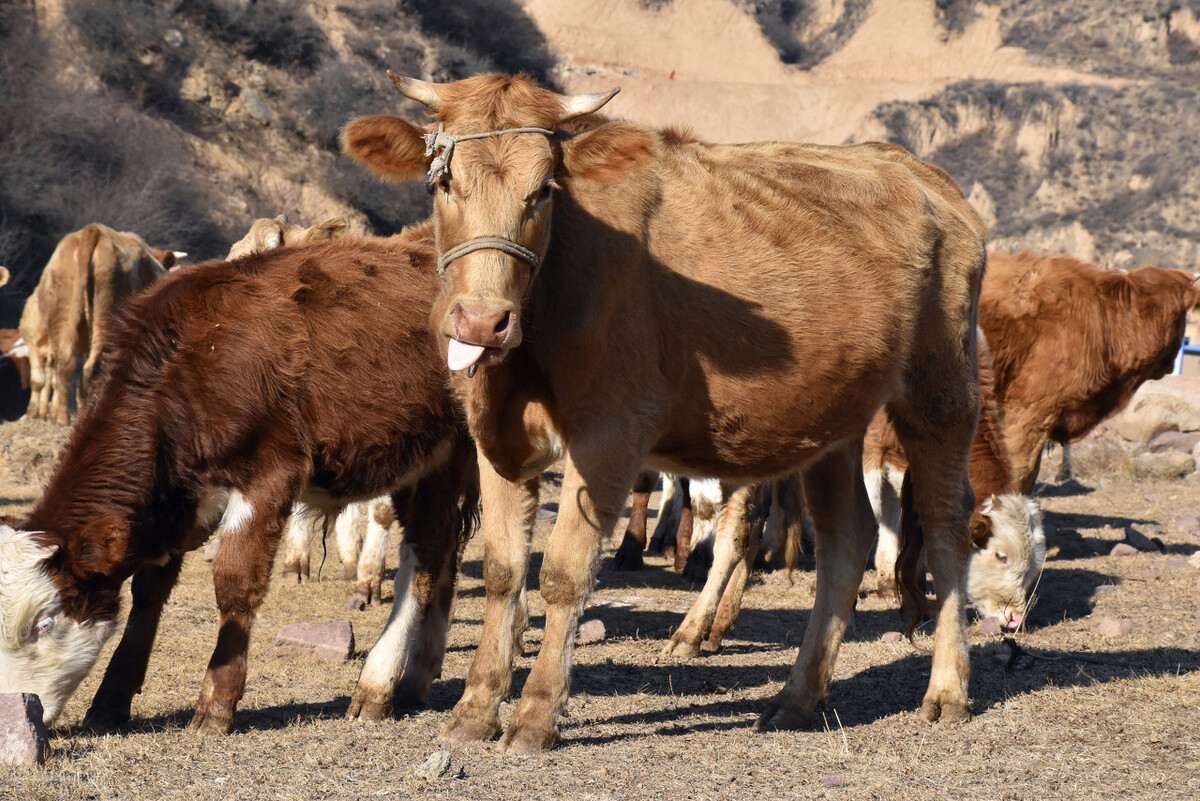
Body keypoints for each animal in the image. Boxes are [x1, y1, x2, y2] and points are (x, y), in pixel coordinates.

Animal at [19, 224, 183, 424]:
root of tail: (93, 230)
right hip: (105, 315)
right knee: (91, 369)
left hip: (63, 316)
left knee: (64, 366)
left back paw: (61, 418)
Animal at [343, 70, 988, 753]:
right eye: (443, 183)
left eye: (543, 190)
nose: (481, 321)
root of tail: (920, 173)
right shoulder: (496, 435)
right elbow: (503, 570)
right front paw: (473, 709)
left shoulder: (610, 433)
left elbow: (564, 572)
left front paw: (536, 715)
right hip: (835, 416)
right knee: (847, 538)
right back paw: (797, 697)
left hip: (941, 390)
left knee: (946, 526)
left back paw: (947, 691)